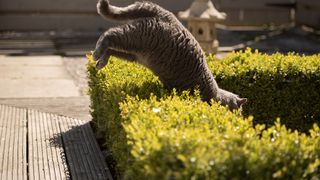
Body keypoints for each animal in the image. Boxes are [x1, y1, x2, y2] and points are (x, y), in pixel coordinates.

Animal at [92, 0, 248, 112]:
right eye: (239, 111)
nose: (240, 116)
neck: (215, 94)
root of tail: (166, 14)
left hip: (134, 53)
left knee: (111, 49)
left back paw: (101, 62)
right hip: (137, 36)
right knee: (109, 33)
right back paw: (96, 54)